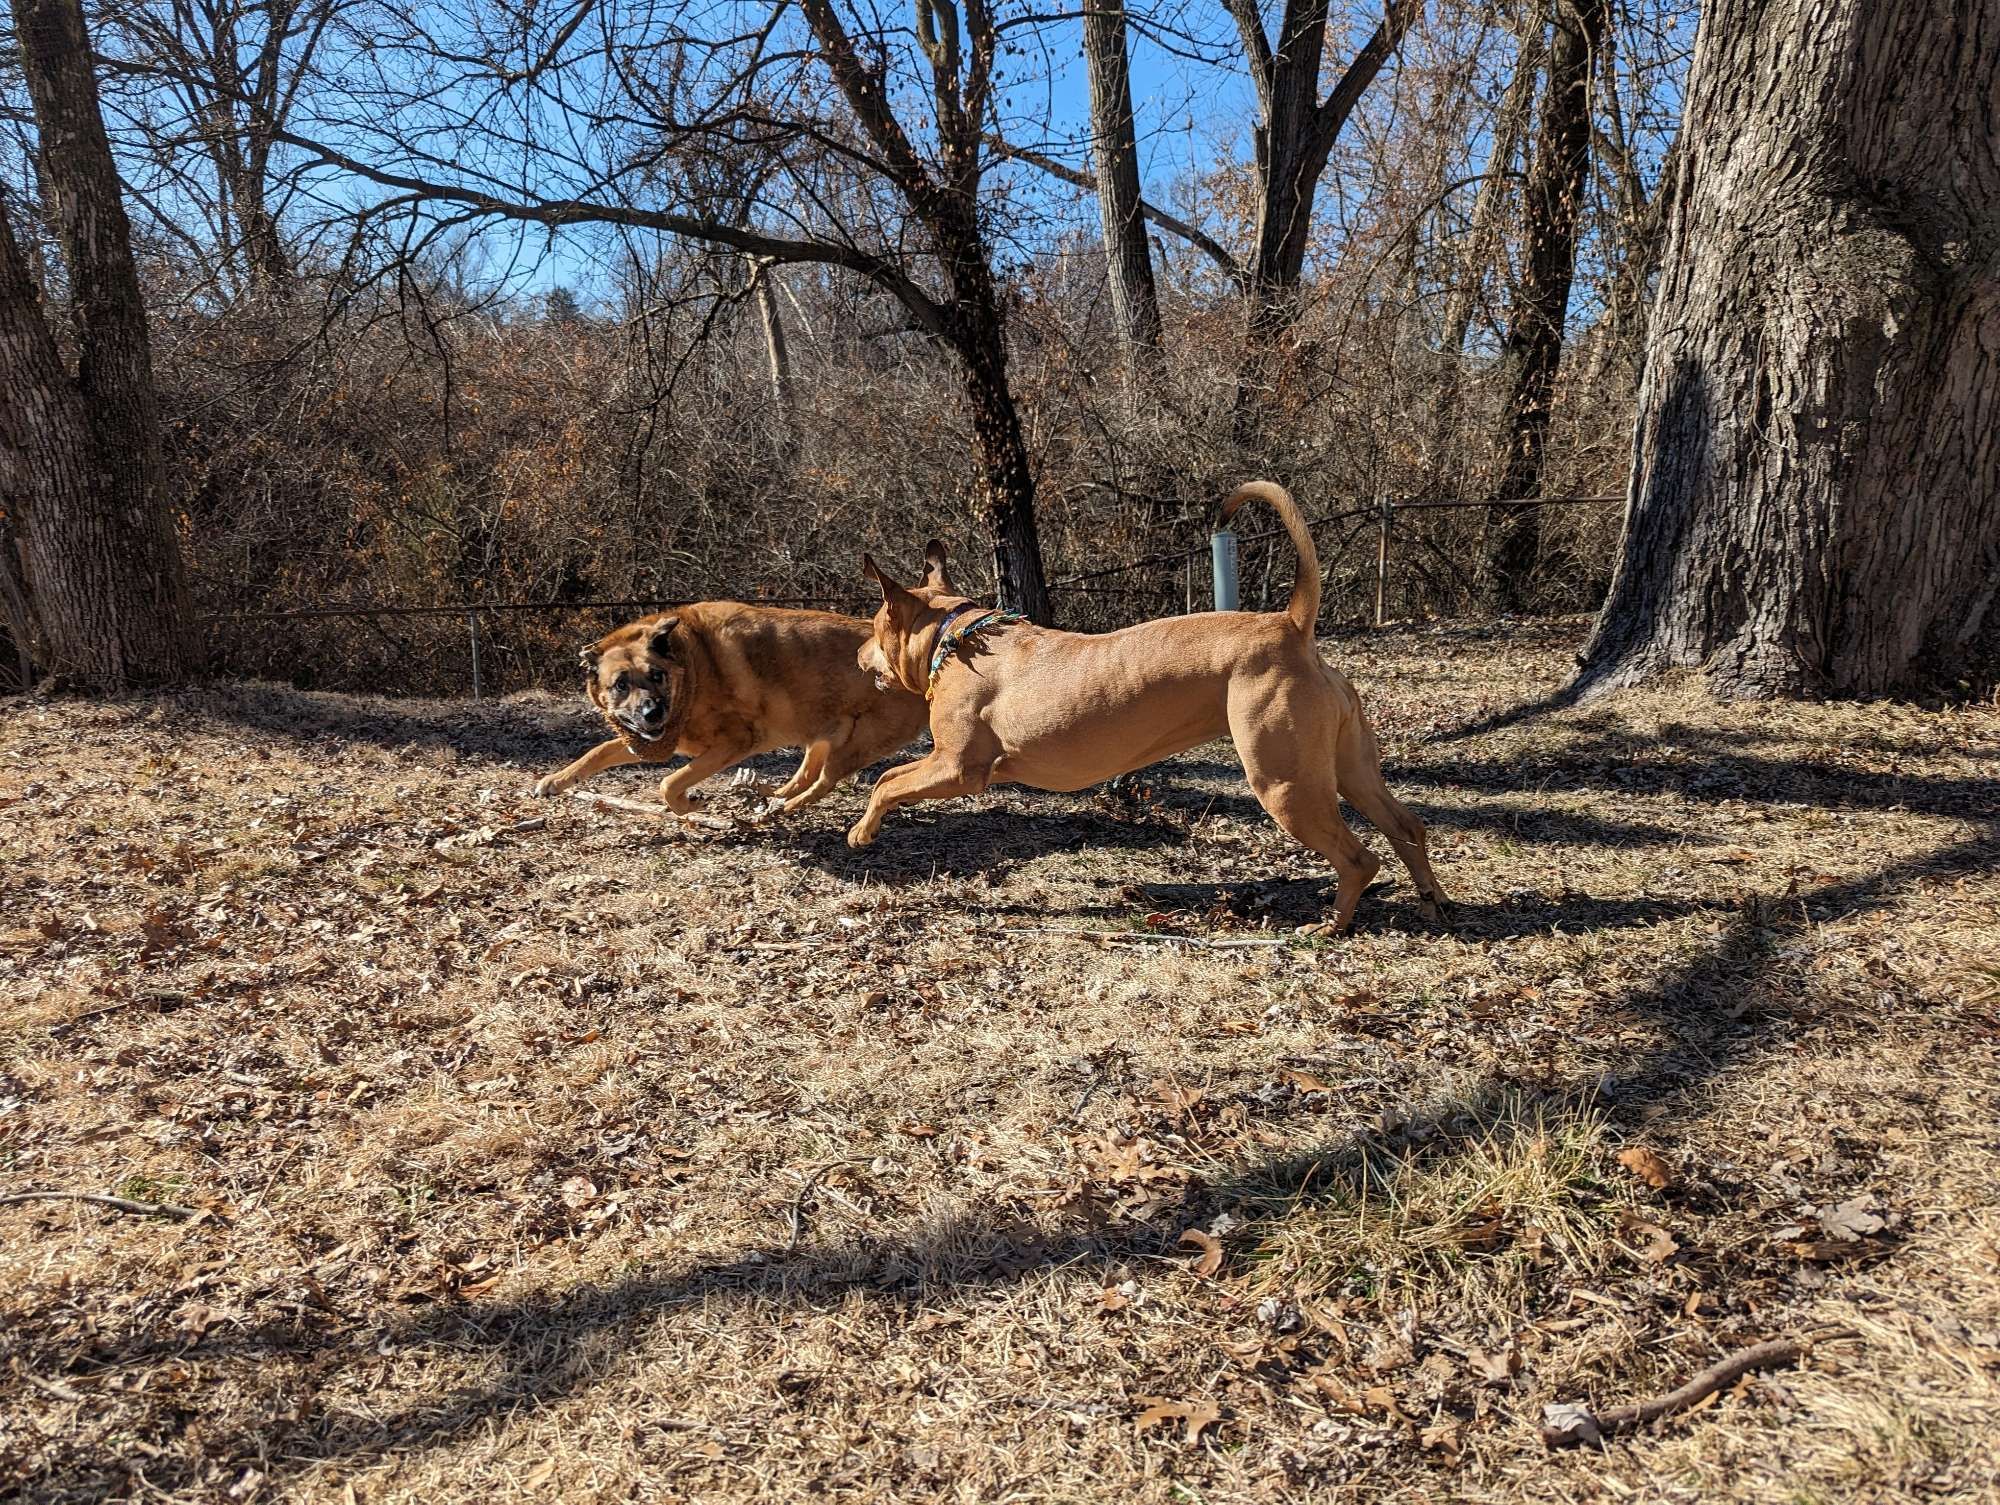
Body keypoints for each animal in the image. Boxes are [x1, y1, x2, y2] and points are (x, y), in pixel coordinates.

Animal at [536, 600, 932, 812]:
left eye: (656, 675)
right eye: (620, 684)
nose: (652, 714)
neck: (693, 669)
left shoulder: (733, 743)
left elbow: (668, 782)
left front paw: (689, 806)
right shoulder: (653, 741)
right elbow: (599, 751)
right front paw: (554, 781)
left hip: (856, 743)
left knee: (824, 781)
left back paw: (784, 808)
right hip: (822, 734)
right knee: (807, 774)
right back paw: (773, 796)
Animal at [852, 482, 1448, 928]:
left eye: (875, 628)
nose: (857, 656)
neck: (953, 638)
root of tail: (1290, 626)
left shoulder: (956, 768)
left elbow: (885, 782)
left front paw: (861, 832)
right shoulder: (945, 764)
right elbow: (888, 776)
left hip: (1285, 786)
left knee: (1360, 858)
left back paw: (1331, 925)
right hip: (1351, 771)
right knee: (1407, 826)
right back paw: (1432, 899)